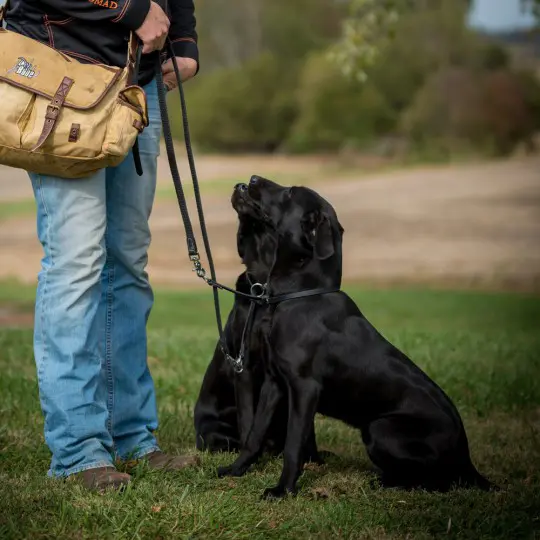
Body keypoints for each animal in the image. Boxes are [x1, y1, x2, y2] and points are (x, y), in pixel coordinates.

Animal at [195, 176, 494, 498]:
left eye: (289, 193)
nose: (248, 180)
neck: (300, 296)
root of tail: (467, 460)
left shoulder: (304, 388)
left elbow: (293, 445)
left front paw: (283, 490)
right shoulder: (274, 383)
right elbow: (254, 433)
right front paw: (235, 470)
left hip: (380, 429)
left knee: (436, 481)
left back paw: (383, 481)